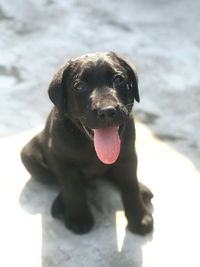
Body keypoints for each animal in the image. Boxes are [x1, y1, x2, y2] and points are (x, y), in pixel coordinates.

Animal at [20, 51, 153, 236]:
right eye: (79, 86)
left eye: (119, 79)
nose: (107, 111)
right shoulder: (62, 161)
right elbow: (72, 189)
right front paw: (79, 218)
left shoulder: (127, 156)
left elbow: (130, 186)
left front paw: (139, 219)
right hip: (28, 156)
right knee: (60, 182)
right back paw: (61, 205)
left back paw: (142, 189)